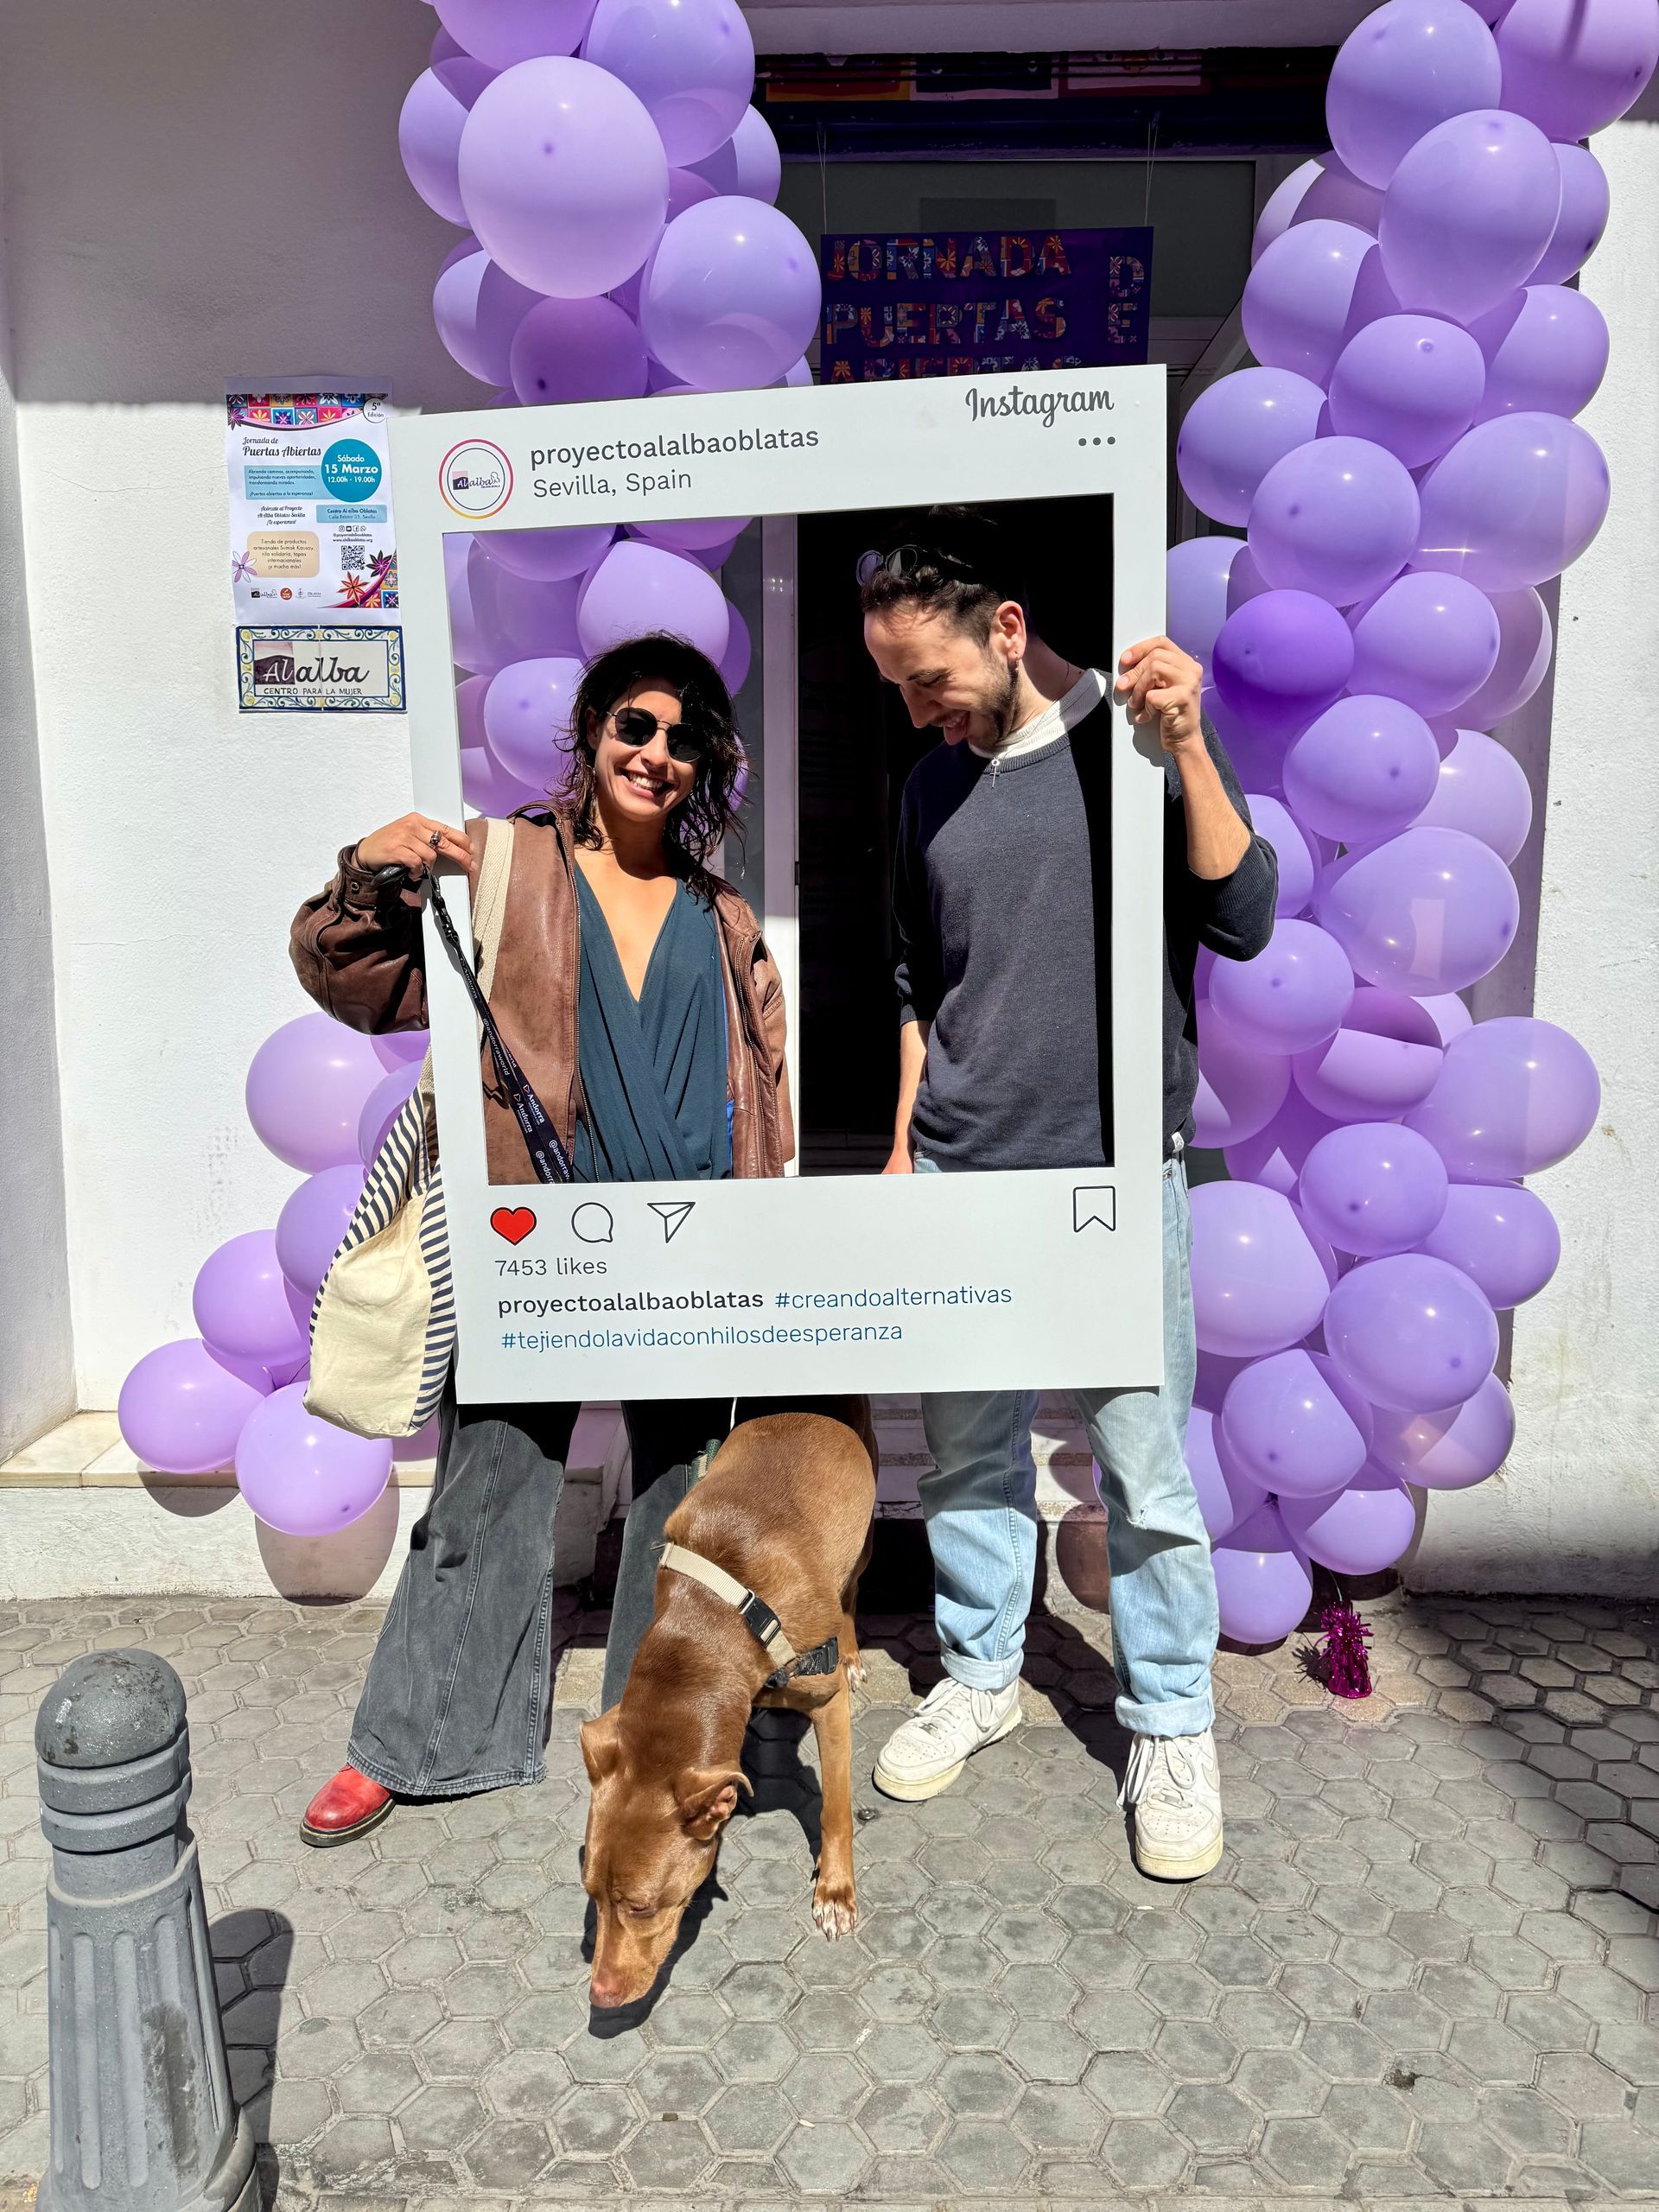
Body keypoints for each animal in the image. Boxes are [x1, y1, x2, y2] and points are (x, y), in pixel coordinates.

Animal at [580, 1395, 877, 2009]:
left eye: (641, 1906)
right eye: (590, 1893)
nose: (599, 1996)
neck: (708, 1625)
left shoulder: (827, 1703)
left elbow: (835, 1810)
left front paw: (835, 1891)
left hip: (863, 1538)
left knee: (852, 1590)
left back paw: (853, 1650)